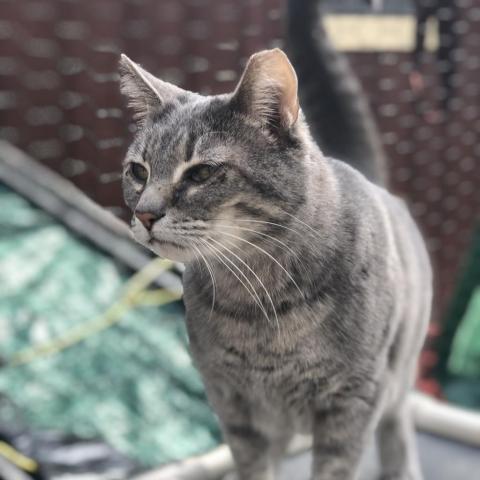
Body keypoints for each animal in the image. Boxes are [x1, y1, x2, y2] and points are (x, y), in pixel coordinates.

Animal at [119, 49, 432, 480]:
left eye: (201, 172)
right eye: (138, 171)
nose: (145, 214)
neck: (258, 305)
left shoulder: (353, 404)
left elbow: (336, 468)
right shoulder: (233, 403)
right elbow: (253, 465)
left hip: (396, 381)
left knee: (398, 422)